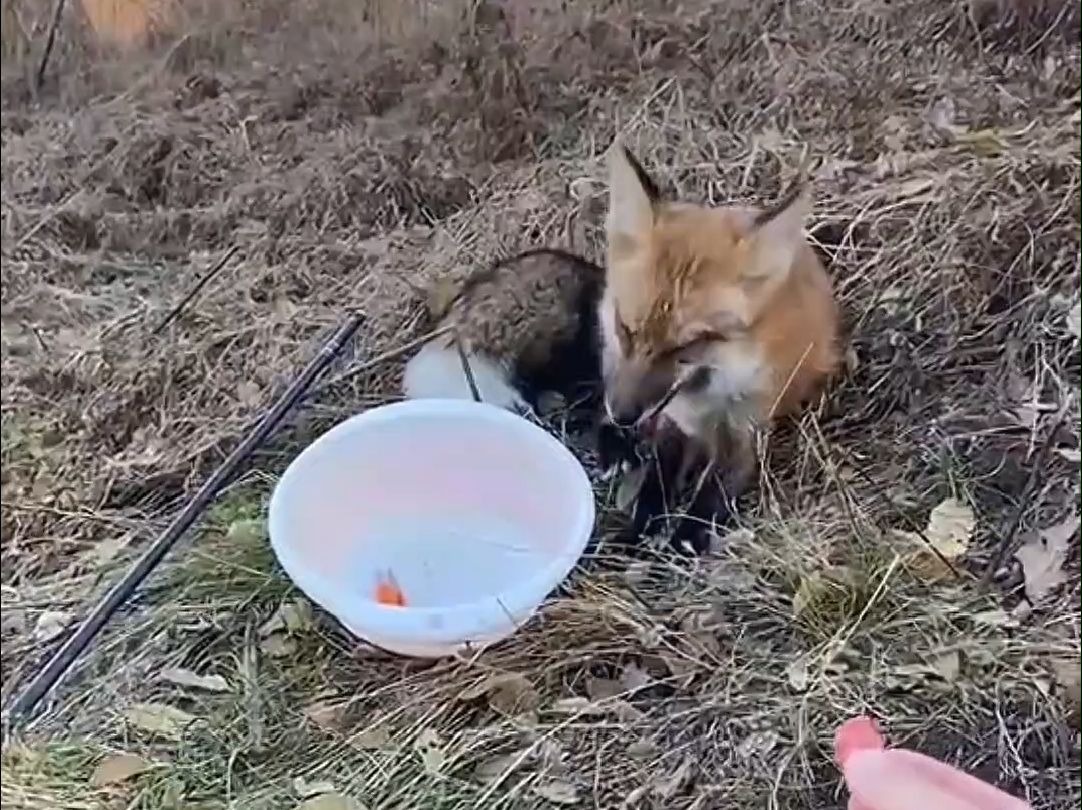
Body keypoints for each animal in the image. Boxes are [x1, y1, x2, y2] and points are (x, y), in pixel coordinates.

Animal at [597, 141, 839, 553]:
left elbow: (711, 496)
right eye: (627, 329)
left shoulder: (747, 433)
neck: (704, 399)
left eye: (689, 343)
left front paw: (681, 542)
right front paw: (636, 533)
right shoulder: (673, 420)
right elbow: (656, 480)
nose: (624, 415)